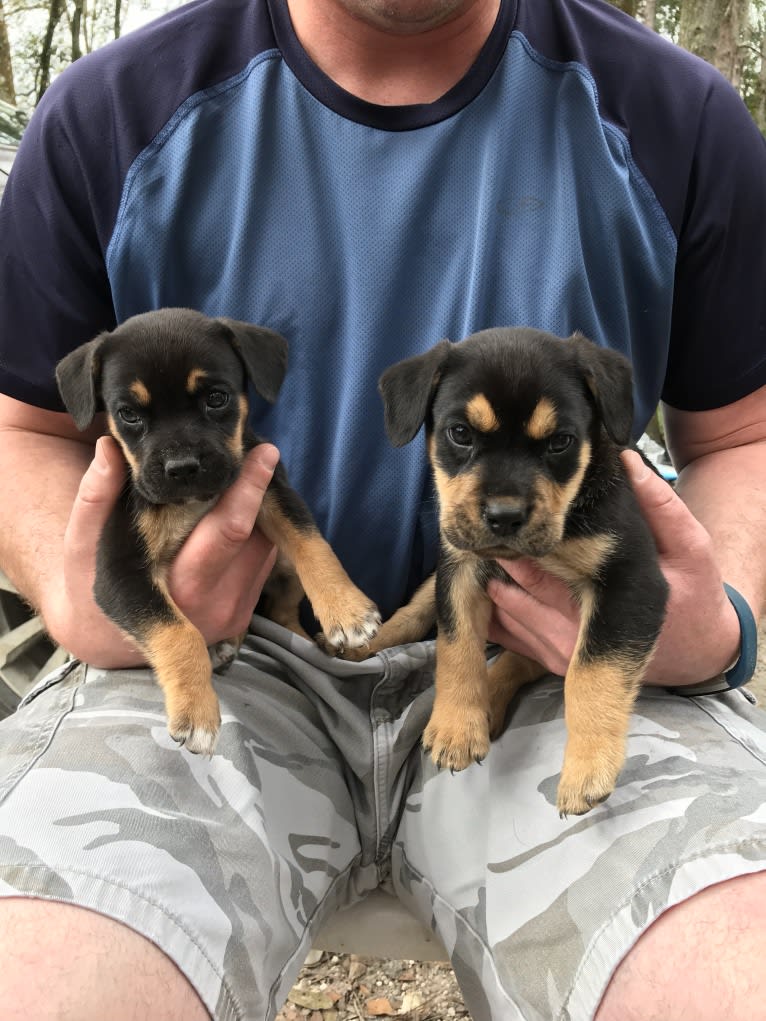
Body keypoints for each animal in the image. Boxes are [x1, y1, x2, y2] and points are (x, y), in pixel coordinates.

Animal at [54, 306, 381, 755]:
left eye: (216, 398)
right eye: (129, 414)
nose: (182, 468)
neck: (192, 503)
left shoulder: (273, 490)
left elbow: (310, 543)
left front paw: (346, 610)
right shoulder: (120, 573)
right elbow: (178, 631)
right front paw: (196, 712)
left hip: (283, 571)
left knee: (283, 611)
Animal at [357, 330, 669, 816]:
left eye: (561, 442)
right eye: (460, 434)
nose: (504, 517)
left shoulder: (632, 582)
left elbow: (591, 672)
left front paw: (587, 768)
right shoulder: (461, 568)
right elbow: (457, 646)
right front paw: (456, 727)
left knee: (523, 659)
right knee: (414, 613)